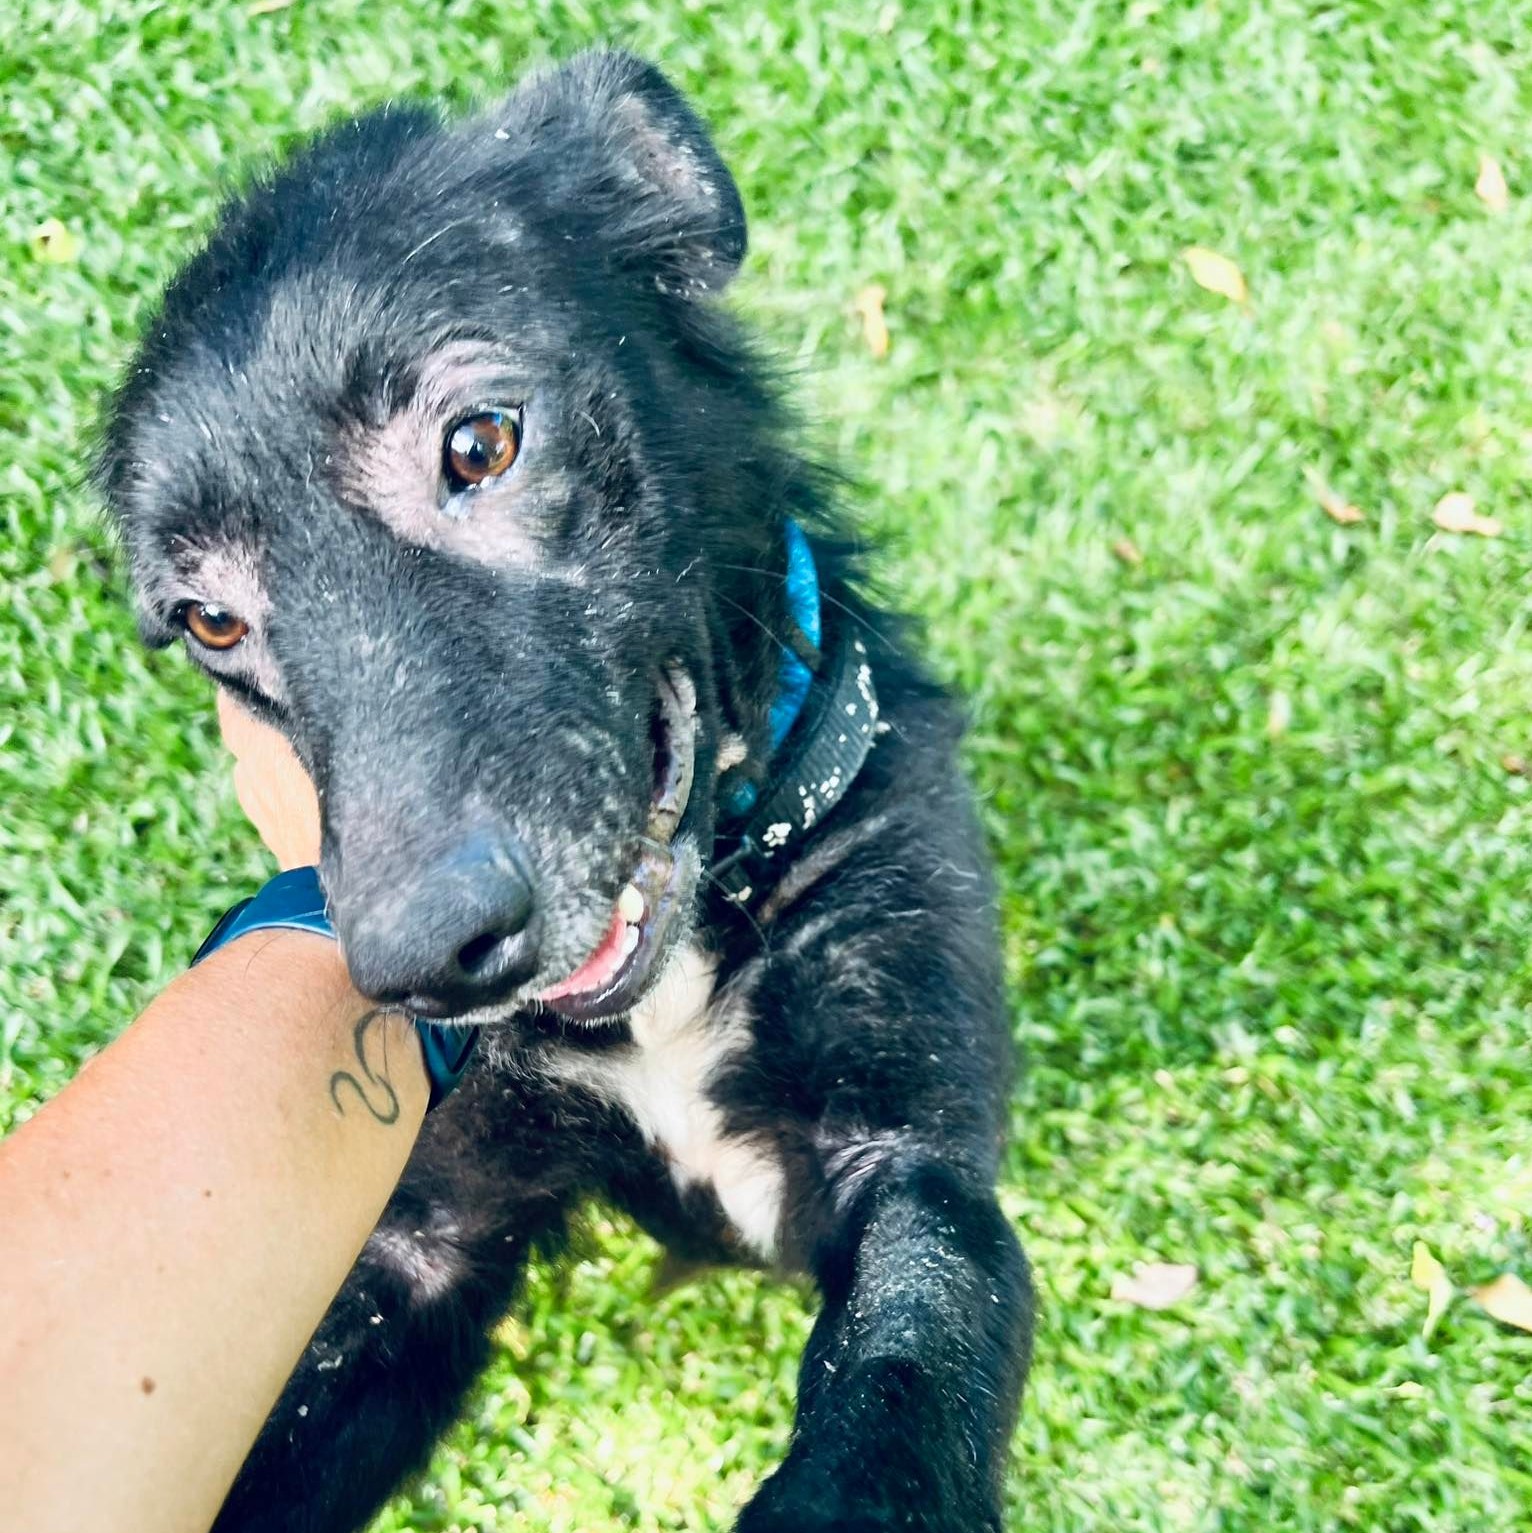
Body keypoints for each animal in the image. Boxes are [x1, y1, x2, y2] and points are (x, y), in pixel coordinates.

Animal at [95, 50, 1030, 1533]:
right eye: (210, 621)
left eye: (480, 444)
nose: (421, 960)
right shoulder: (416, 1246)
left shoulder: (910, 1152)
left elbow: (903, 1356)